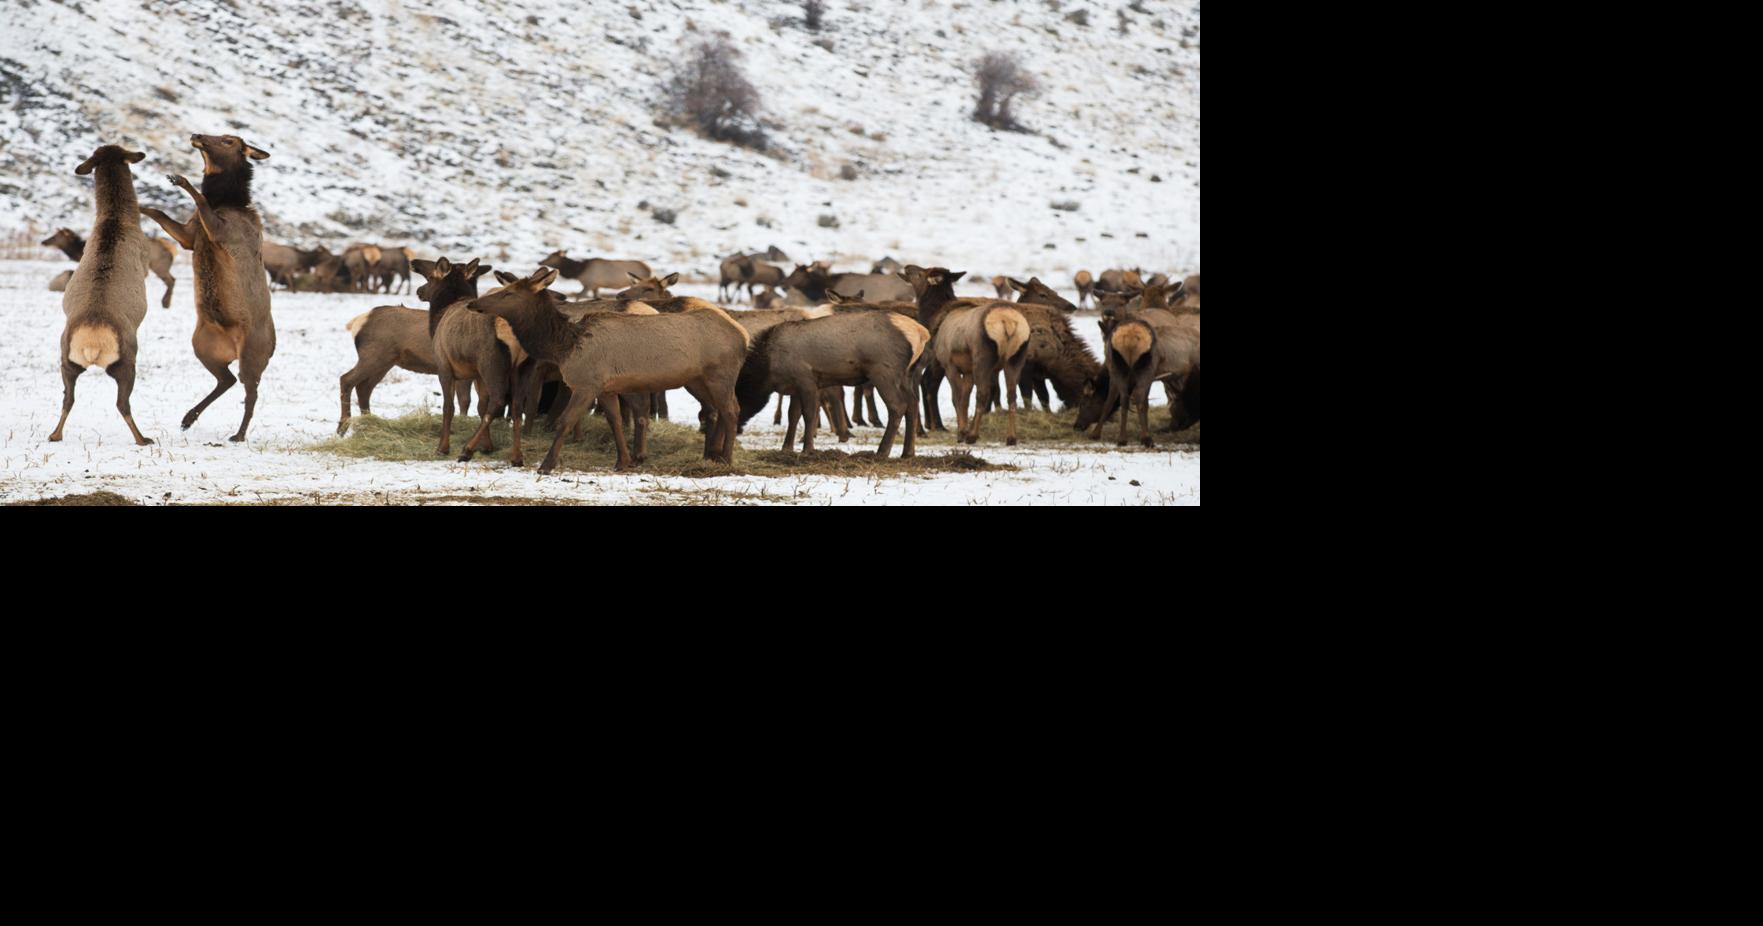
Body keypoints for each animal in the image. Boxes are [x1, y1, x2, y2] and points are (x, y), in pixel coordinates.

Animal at [42, 226, 177, 308]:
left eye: (54, 237)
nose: (43, 241)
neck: (78, 251)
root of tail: (171, 248)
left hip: (159, 266)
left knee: (171, 280)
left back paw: (165, 303)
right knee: (172, 279)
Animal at [48, 144, 155, 446]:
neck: (116, 219)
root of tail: (92, 344)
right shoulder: (146, 262)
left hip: (65, 359)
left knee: (67, 398)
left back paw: (55, 434)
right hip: (127, 359)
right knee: (122, 403)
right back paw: (143, 438)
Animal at [139, 133, 275, 442]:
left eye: (228, 141)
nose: (196, 135)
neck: (226, 201)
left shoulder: (222, 232)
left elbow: (199, 198)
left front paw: (180, 179)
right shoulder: (189, 236)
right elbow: (158, 212)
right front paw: (137, 204)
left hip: (253, 353)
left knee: (251, 391)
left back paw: (238, 434)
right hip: (202, 345)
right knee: (227, 379)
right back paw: (188, 417)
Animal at [467, 266, 751, 473]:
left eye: (509, 293)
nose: (472, 303)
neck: (565, 347)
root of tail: (743, 335)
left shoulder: (586, 384)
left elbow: (565, 420)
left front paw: (546, 465)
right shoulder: (606, 388)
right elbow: (614, 421)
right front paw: (622, 461)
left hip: (721, 374)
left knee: (731, 410)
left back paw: (726, 459)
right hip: (697, 380)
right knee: (715, 410)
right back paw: (711, 456)